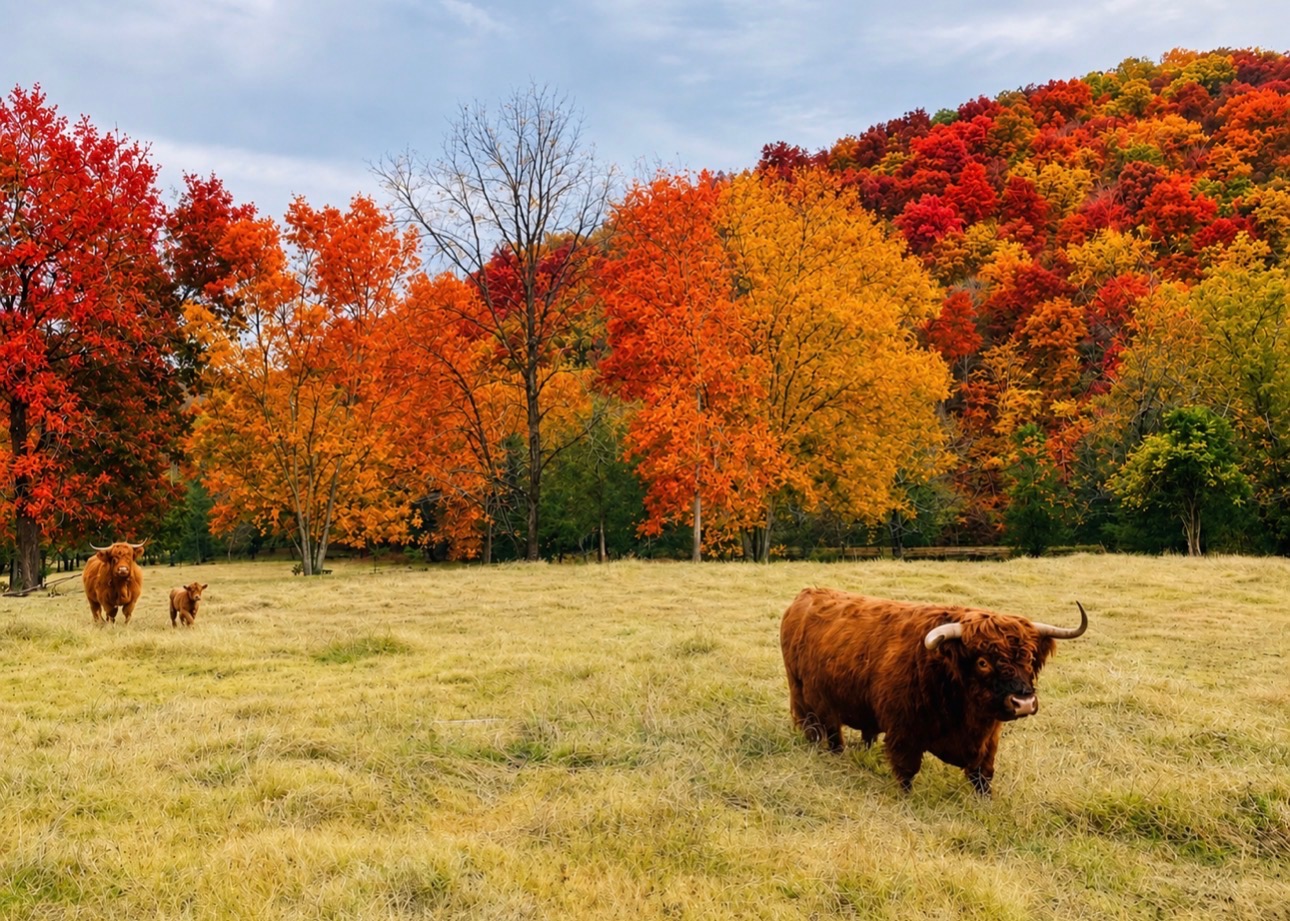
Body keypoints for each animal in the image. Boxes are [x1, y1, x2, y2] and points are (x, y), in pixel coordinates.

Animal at [780, 588, 1088, 795]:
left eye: (1029, 657)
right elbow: (906, 772)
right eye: (983, 662)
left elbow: (983, 775)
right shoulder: (903, 731)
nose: (1023, 702)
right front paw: (906, 800)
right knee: (828, 736)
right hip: (807, 698)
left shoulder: (989, 738)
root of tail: (807, 594)